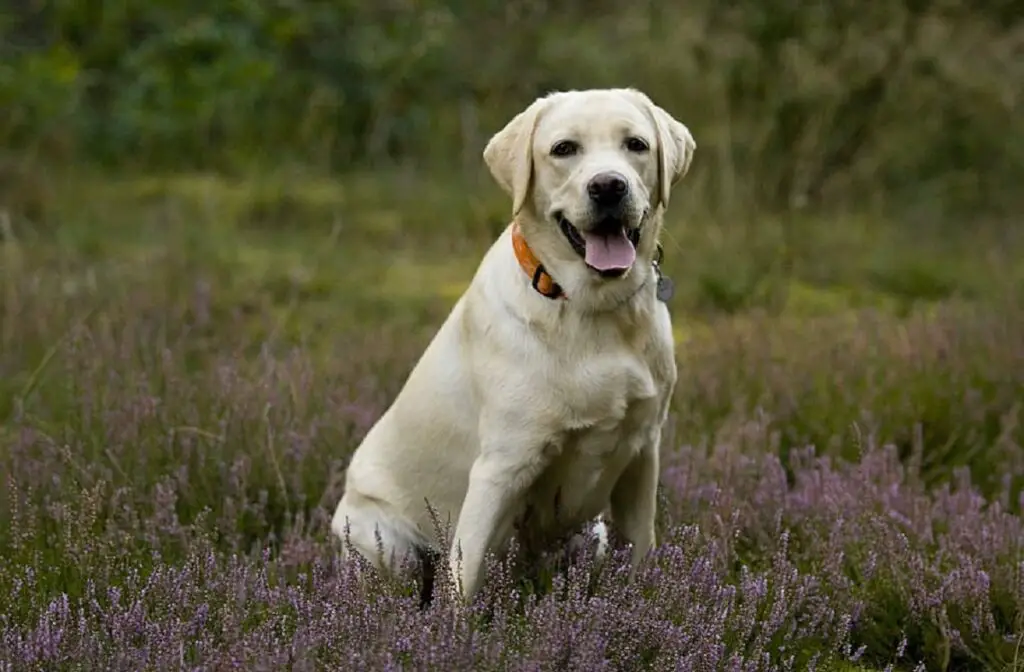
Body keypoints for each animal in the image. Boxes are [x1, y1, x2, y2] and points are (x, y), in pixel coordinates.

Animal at [331, 88, 692, 602]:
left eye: (636, 145)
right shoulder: (501, 468)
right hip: (386, 546)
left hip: (592, 535)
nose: (608, 186)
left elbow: (642, 553)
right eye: (564, 149)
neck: (592, 308)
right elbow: (463, 585)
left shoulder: (642, 455)